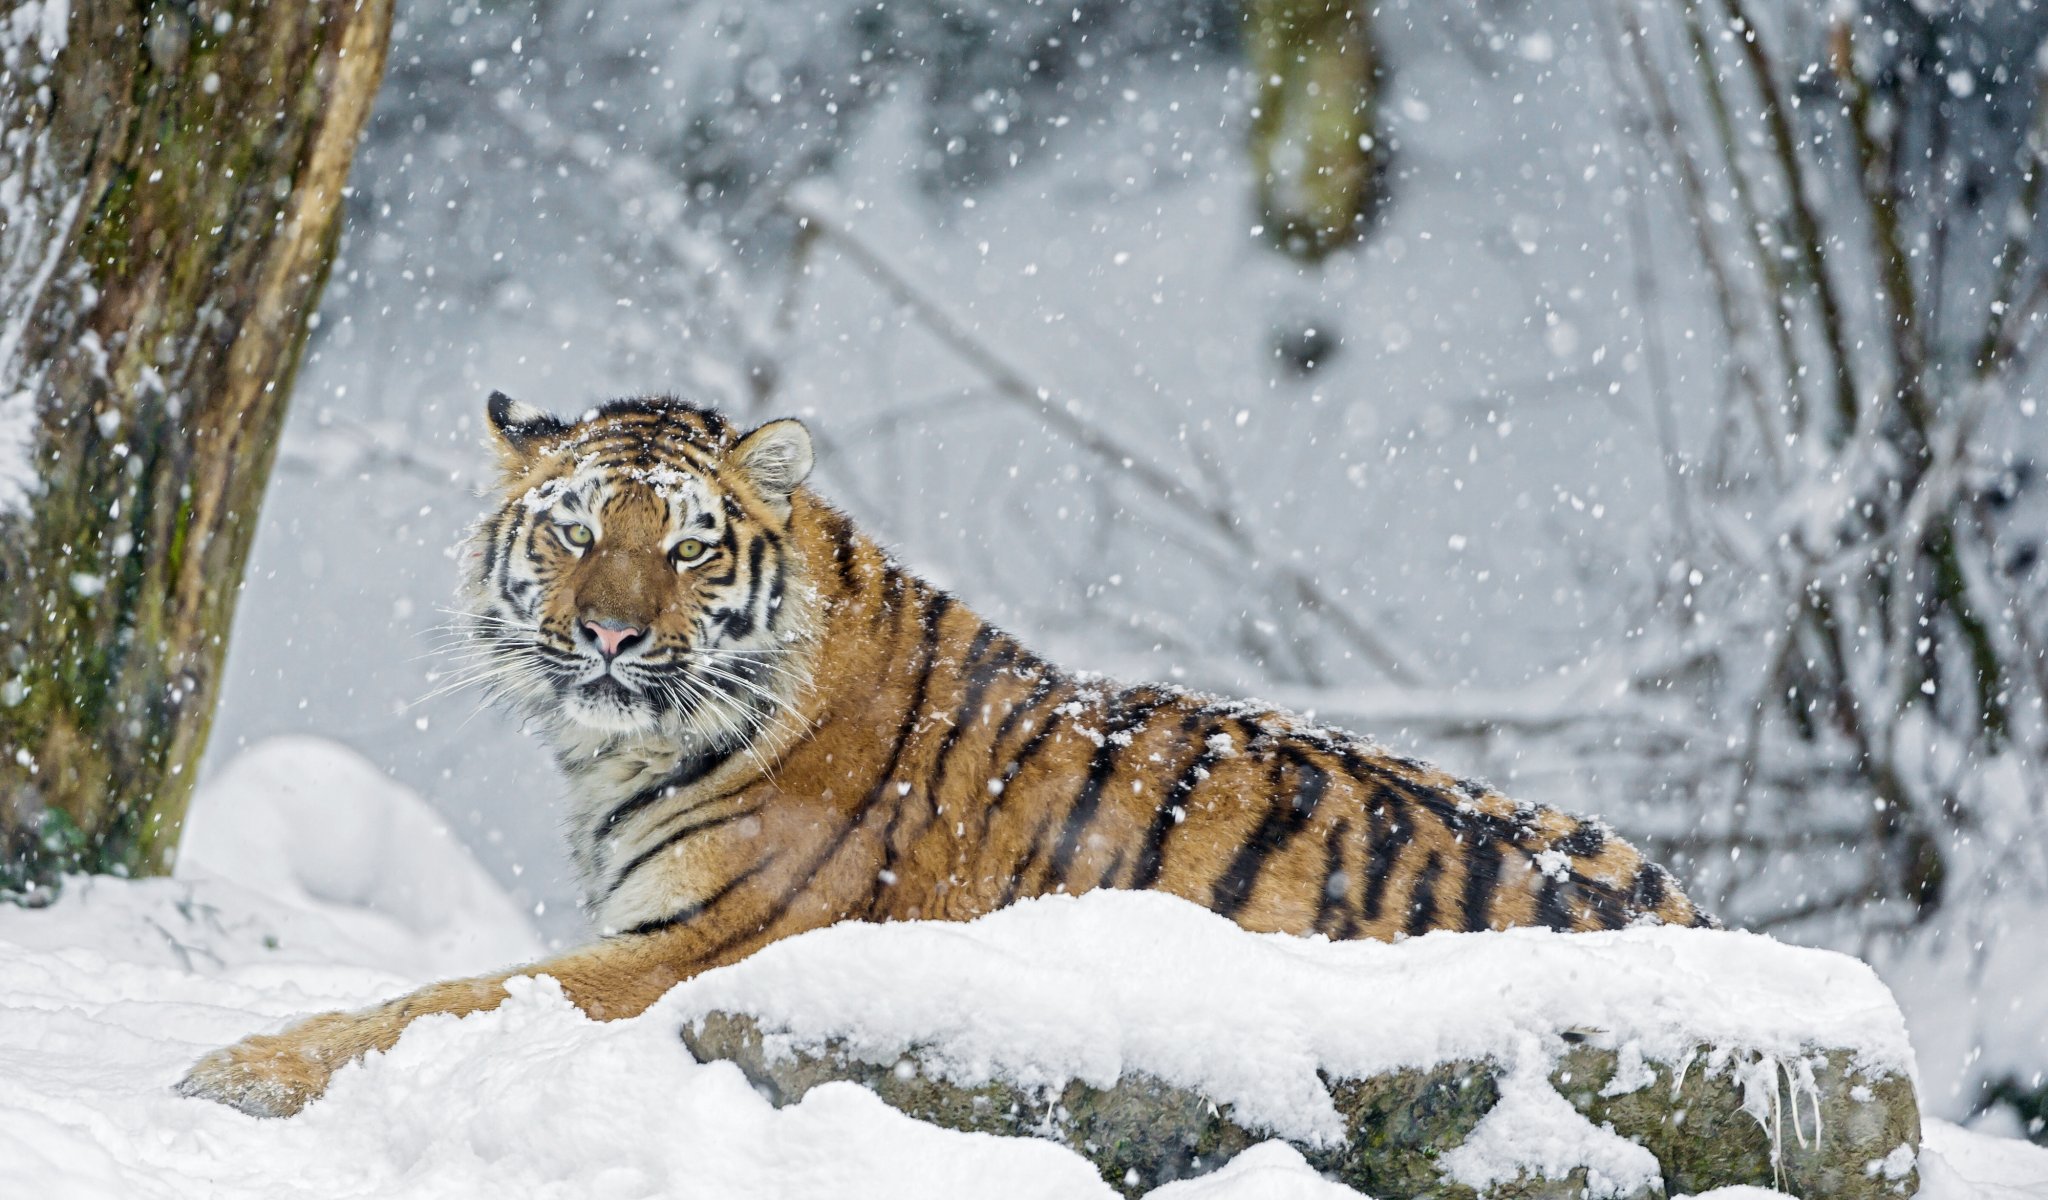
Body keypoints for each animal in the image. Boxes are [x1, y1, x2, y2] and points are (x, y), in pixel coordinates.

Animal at [177, 393, 1713, 1118]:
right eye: (572, 533)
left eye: (685, 548)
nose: (609, 635)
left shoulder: (695, 949)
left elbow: (435, 1001)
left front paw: (229, 1072)